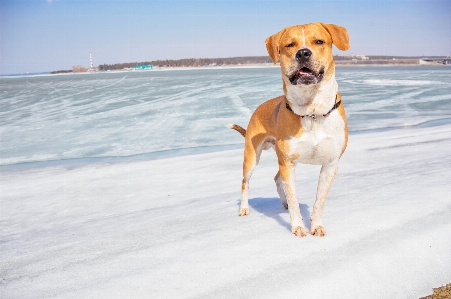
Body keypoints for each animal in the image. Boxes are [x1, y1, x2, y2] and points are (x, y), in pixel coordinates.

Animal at [228, 22, 352, 239]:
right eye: (289, 45)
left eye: (319, 41)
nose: (303, 53)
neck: (312, 112)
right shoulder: (288, 163)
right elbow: (295, 200)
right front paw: (298, 227)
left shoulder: (330, 165)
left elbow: (319, 200)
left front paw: (316, 225)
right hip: (252, 157)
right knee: (246, 182)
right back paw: (244, 208)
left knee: (277, 178)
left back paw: (283, 202)